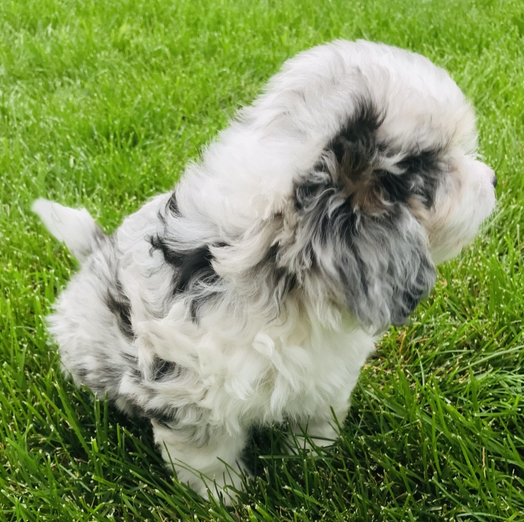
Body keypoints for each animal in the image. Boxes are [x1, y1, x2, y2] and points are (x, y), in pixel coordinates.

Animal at [33, 40, 497, 502]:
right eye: (436, 167)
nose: (493, 179)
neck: (285, 280)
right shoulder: (189, 395)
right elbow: (206, 456)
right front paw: (225, 497)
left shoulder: (326, 377)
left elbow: (317, 420)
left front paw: (312, 461)